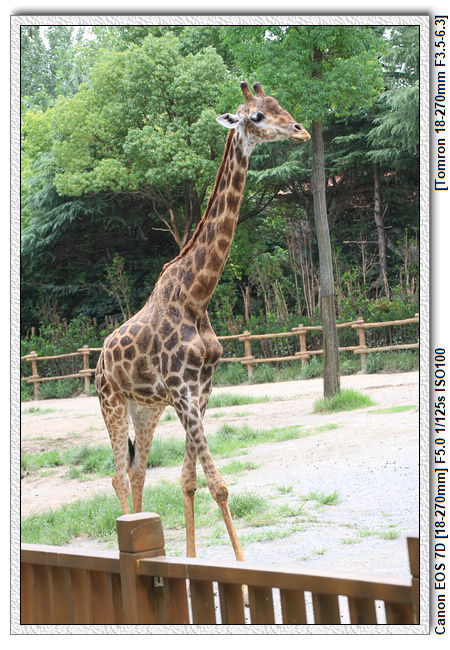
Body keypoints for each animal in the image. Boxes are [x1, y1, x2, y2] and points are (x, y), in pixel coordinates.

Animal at [95, 81, 310, 562]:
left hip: (146, 409)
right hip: (111, 402)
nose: (301, 131)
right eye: (257, 116)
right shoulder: (182, 391)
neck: (197, 296)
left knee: (137, 472)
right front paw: (242, 568)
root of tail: (97, 359)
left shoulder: (201, 390)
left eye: (279, 105)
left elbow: (189, 481)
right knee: (118, 476)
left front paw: (192, 563)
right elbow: (218, 485)